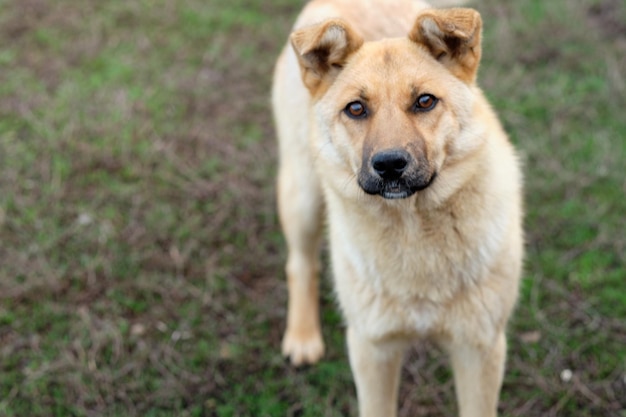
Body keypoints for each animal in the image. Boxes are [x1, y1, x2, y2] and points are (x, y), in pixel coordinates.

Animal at [272, 1, 520, 414]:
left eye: (425, 101)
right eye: (356, 108)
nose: (389, 165)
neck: (414, 231)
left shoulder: (479, 347)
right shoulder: (373, 348)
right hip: (302, 194)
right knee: (300, 263)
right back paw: (302, 336)